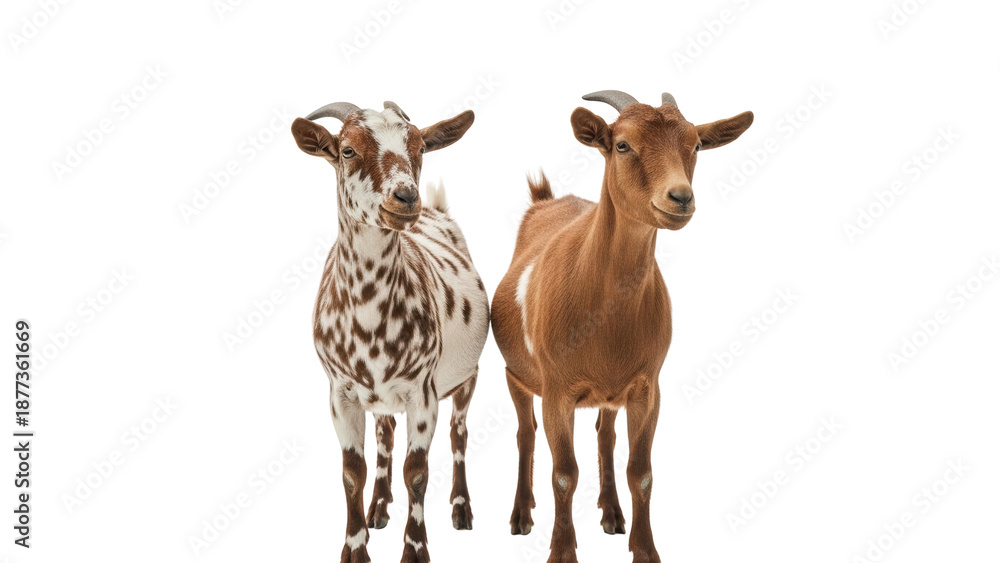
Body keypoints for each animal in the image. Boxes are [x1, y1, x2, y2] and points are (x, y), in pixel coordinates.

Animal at [291, 100, 489, 563]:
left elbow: (417, 472)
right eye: (347, 149)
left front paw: (415, 550)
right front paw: (355, 547)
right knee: (384, 434)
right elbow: (352, 472)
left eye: (420, 146)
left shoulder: (424, 393)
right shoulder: (341, 394)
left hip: (468, 378)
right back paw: (379, 505)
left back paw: (461, 508)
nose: (405, 197)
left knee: (459, 434)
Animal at [491, 90, 753, 563]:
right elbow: (564, 473)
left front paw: (644, 549)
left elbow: (641, 472)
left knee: (604, 435)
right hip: (515, 375)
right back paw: (521, 516)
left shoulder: (647, 387)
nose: (680, 197)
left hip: (612, 393)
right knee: (525, 434)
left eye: (696, 145)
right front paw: (562, 551)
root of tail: (546, 201)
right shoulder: (556, 390)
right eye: (622, 145)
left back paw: (612, 514)